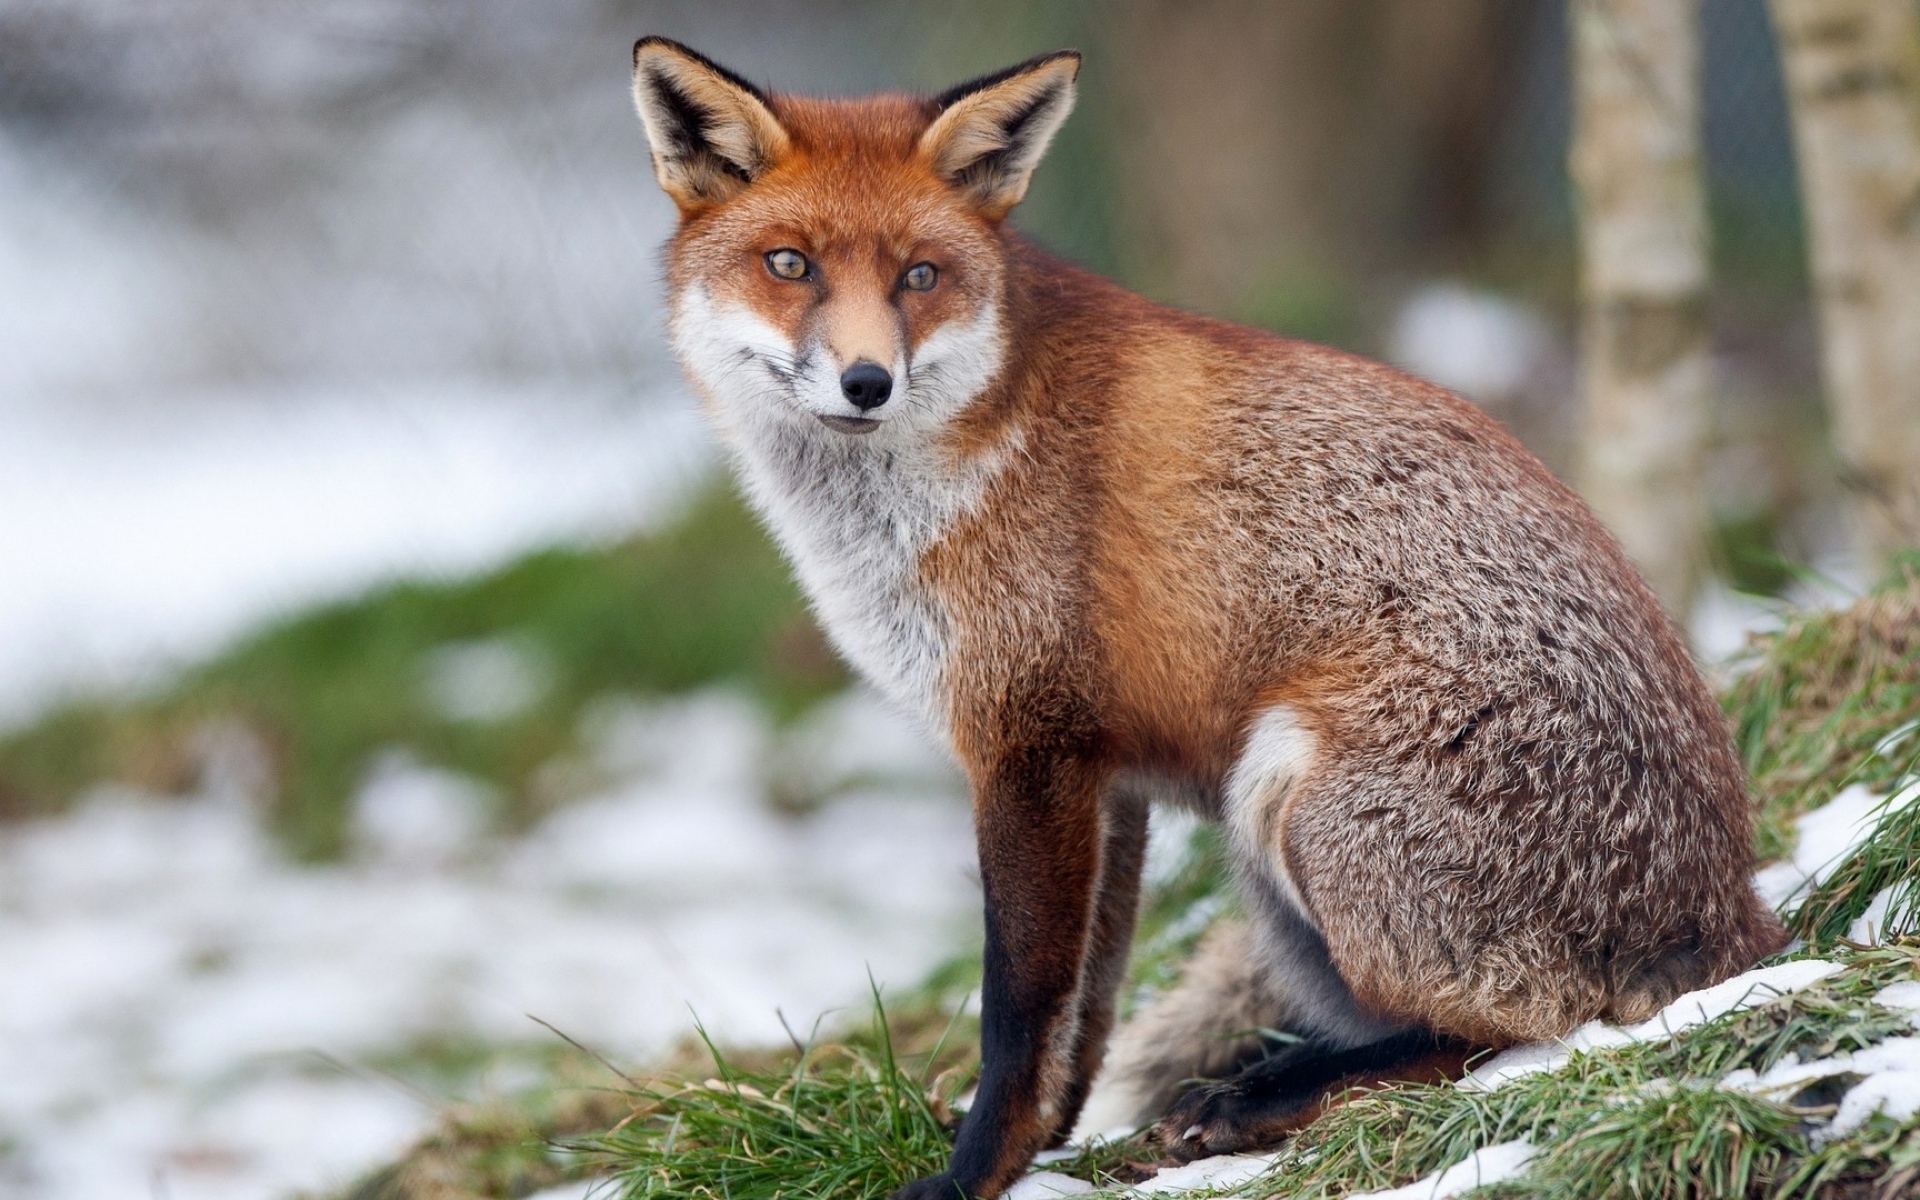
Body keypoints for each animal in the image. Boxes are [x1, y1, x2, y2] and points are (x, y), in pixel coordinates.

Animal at [626, 37, 1789, 1200]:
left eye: (919, 275)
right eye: (790, 265)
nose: (867, 382)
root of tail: (1736, 917)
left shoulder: (1026, 745)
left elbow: (1018, 1007)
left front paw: (970, 1176)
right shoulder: (1101, 776)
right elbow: (1086, 1009)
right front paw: (1047, 1150)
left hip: (1288, 789)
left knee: (1518, 1025)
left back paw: (1266, 1094)